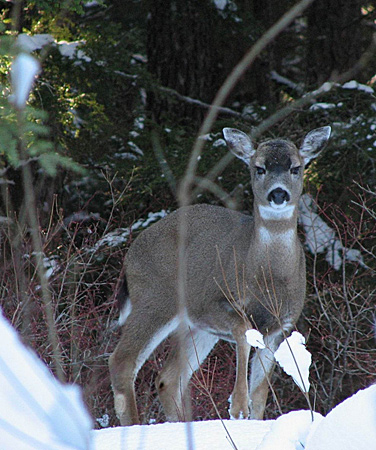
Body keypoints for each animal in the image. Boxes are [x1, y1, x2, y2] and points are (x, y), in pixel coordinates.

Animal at [108, 125, 328, 426]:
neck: (267, 280)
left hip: (194, 327)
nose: (278, 194)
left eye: (296, 167)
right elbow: (242, 330)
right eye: (259, 168)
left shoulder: (280, 326)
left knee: (168, 379)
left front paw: (252, 418)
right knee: (123, 361)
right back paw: (133, 426)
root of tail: (130, 255)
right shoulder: (211, 302)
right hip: (156, 298)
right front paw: (237, 408)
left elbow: (261, 392)